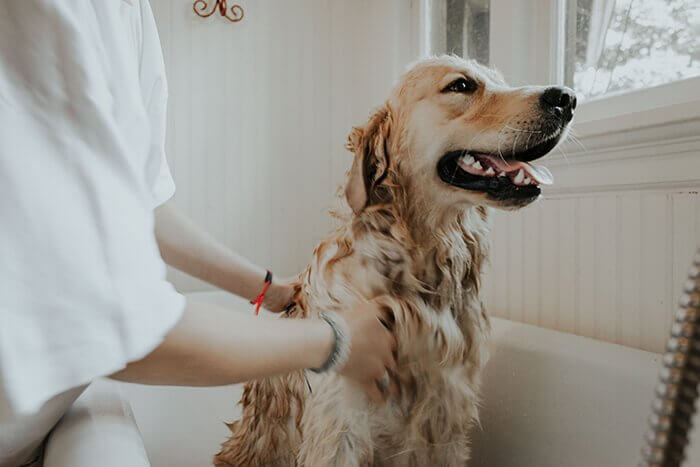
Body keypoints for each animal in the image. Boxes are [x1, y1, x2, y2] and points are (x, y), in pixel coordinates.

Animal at [212, 55, 576, 467]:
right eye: (462, 86)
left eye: (499, 80)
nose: (567, 98)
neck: (421, 269)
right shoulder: (341, 423)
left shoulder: (447, 417)